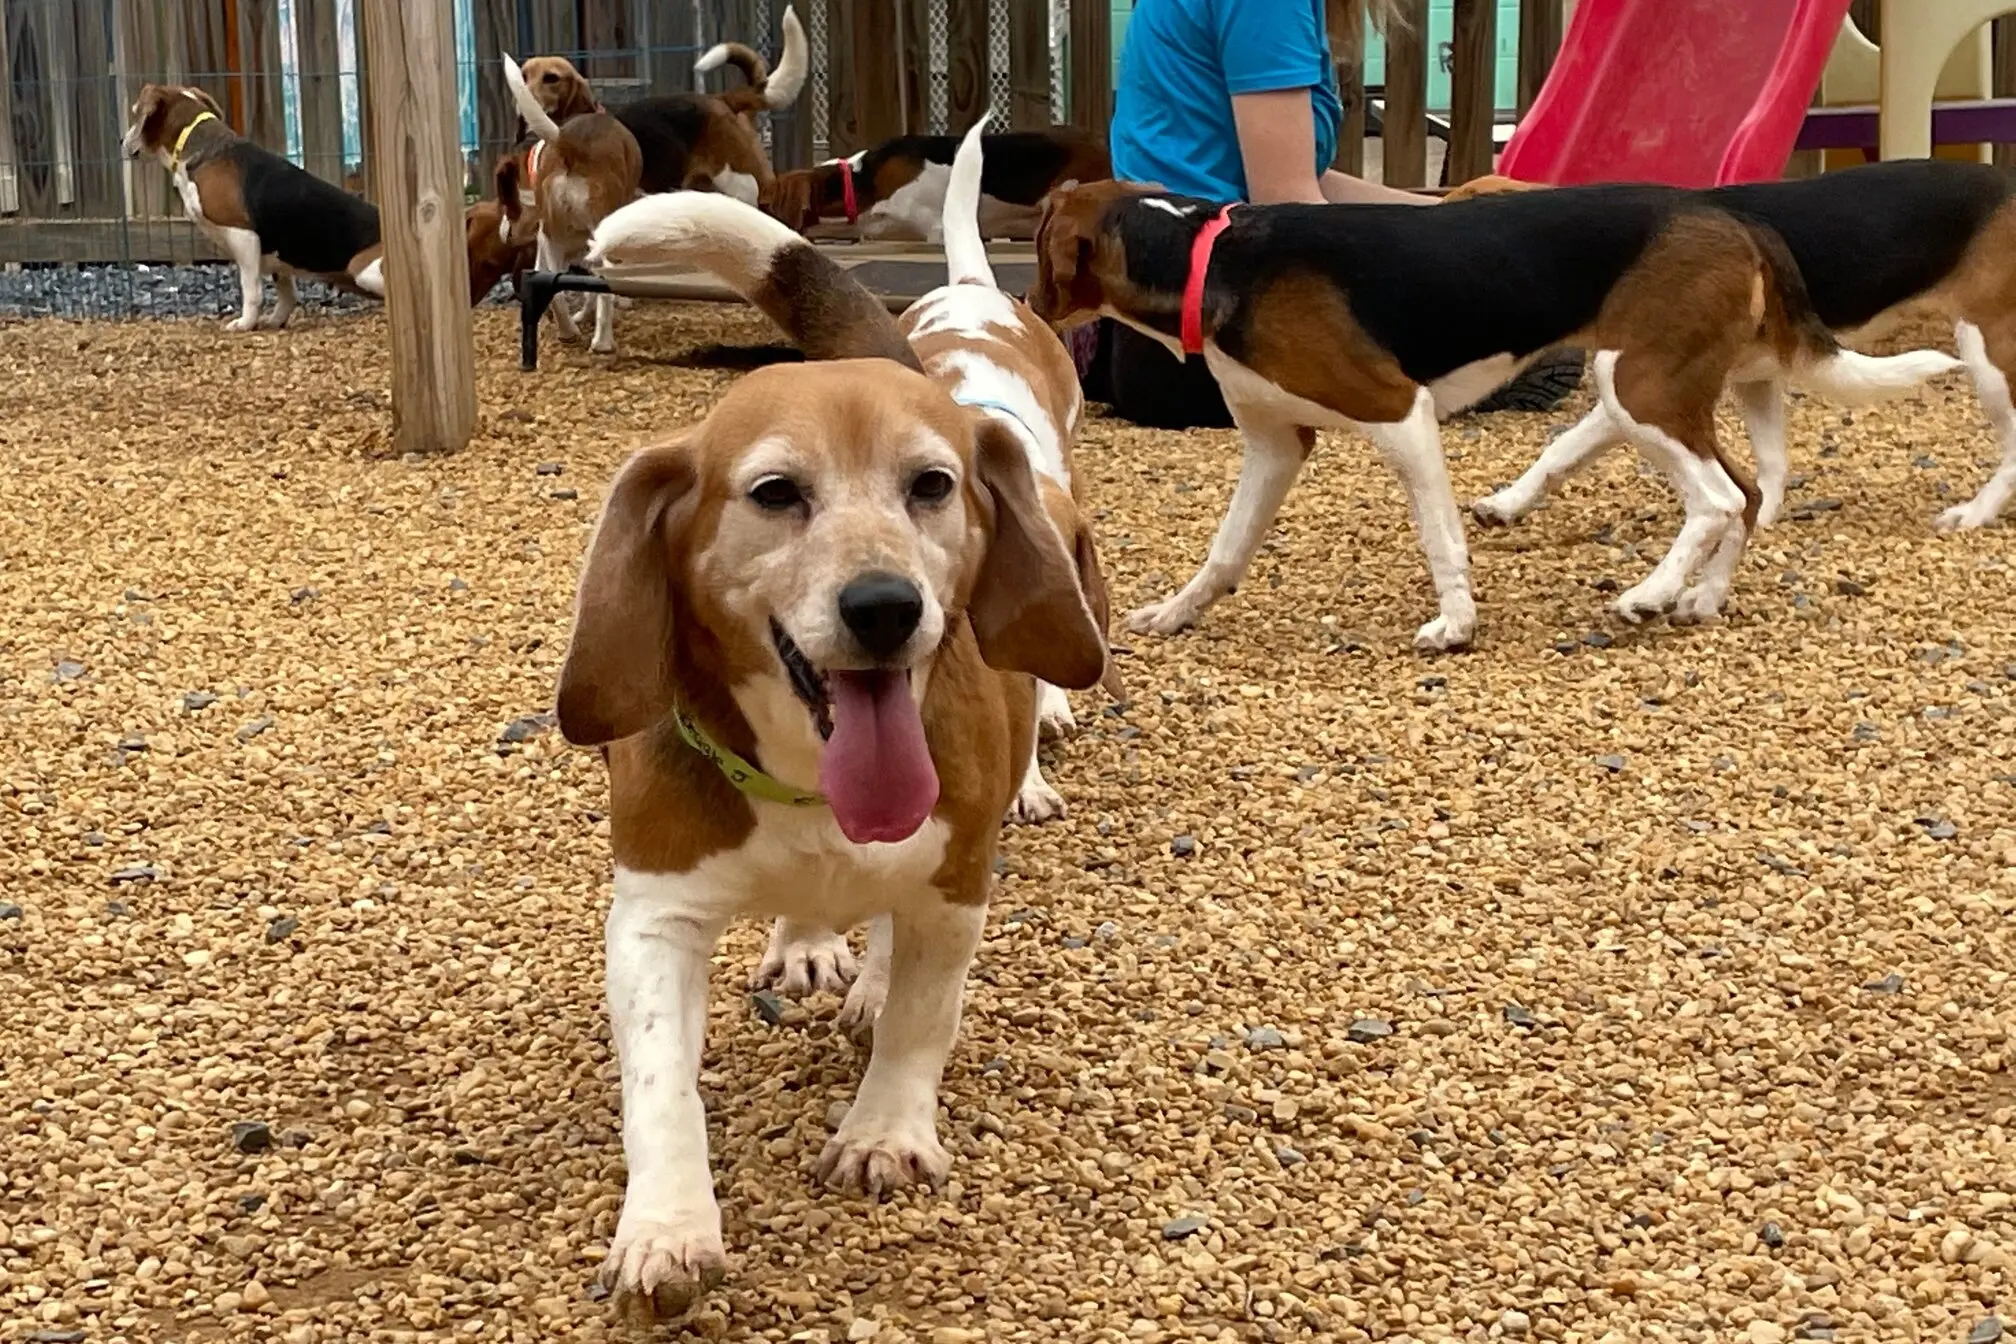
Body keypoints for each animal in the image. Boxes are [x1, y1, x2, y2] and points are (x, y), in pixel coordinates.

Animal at [1451, 171, 1999, 540]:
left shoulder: (1646, 381)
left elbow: (1566, 445)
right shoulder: (1750, 380)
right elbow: (1771, 465)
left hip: (1989, 354)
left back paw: (1974, 514)